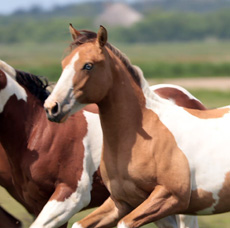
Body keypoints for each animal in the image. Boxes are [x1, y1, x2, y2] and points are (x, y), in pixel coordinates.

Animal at [44, 25, 230, 228]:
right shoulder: (121, 202)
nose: (52, 107)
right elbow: (79, 224)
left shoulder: (170, 196)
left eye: (88, 65)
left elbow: (124, 223)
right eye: (64, 64)